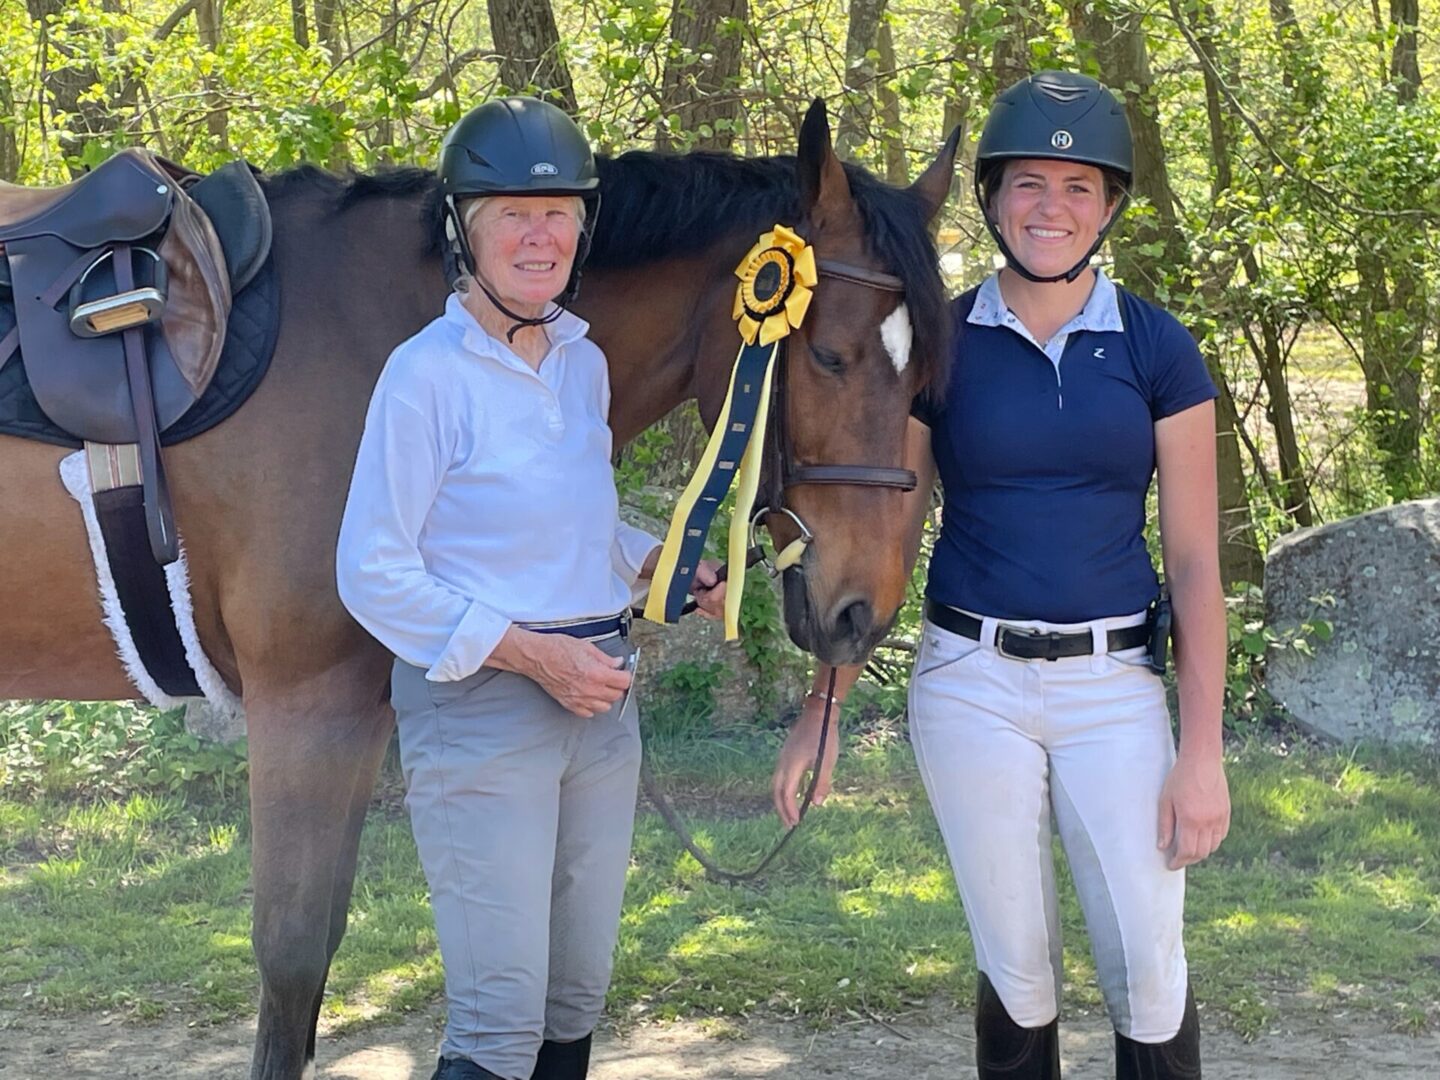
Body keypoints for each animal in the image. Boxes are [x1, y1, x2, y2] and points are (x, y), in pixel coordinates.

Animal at [0, 103, 956, 1080]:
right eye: (830, 357)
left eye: (925, 379)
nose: (860, 613)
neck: (374, 331)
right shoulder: (305, 707)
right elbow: (292, 957)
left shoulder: (354, 709)